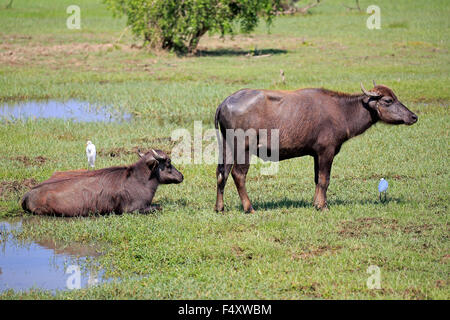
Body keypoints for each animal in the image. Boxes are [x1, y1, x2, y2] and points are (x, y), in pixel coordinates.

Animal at [21, 149, 183, 216]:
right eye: (168, 162)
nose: (181, 176)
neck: (139, 180)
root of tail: (28, 193)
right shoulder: (132, 209)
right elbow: (159, 207)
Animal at [214, 82, 418, 212]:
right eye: (388, 101)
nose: (413, 116)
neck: (343, 111)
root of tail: (224, 103)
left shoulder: (315, 155)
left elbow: (316, 179)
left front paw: (315, 203)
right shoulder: (327, 151)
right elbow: (324, 179)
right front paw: (323, 206)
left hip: (226, 146)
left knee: (221, 173)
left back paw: (219, 207)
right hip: (243, 149)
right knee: (238, 175)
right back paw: (249, 208)